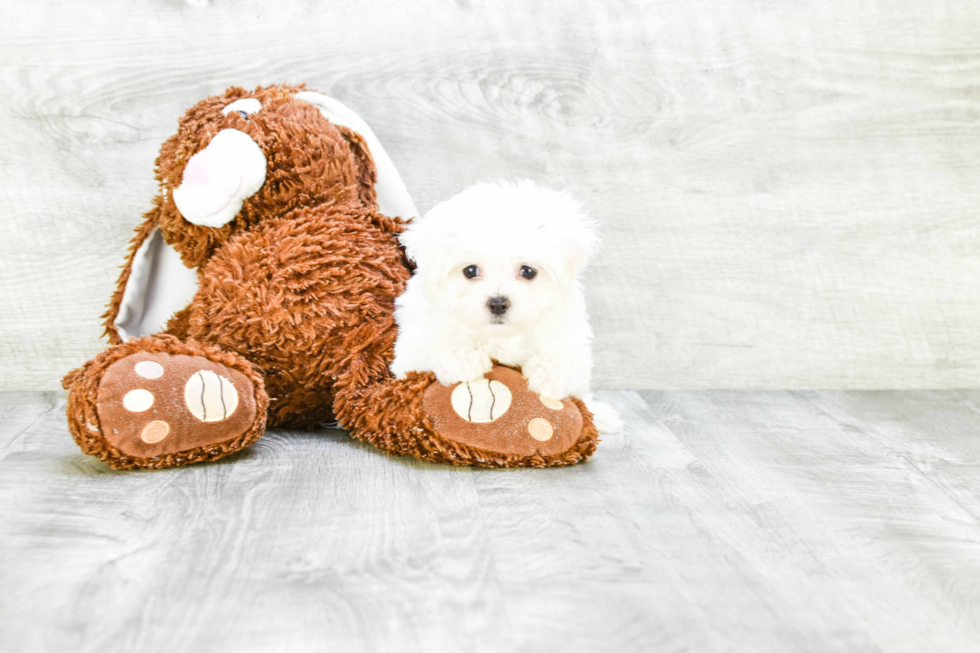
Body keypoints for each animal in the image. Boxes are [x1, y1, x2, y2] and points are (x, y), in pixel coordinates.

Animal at [388, 180, 620, 432]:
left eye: (528, 271)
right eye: (470, 270)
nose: (498, 304)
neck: (500, 335)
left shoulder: (567, 333)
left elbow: (566, 356)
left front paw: (551, 375)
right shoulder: (410, 348)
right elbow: (433, 342)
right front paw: (462, 360)